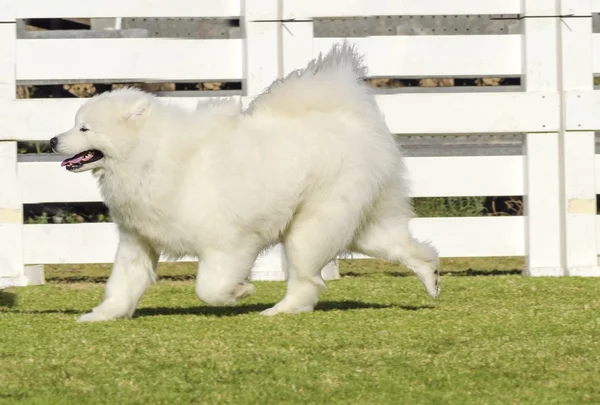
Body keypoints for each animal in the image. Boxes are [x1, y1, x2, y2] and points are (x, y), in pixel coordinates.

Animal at [51, 43, 440, 322]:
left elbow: (208, 288)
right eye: (75, 124)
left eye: (84, 129)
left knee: (307, 280)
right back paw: (431, 276)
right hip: (360, 225)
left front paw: (240, 292)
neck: (149, 155)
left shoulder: (229, 243)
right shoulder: (138, 241)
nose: (53, 141)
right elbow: (122, 285)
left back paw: (279, 310)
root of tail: (350, 122)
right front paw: (101, 316)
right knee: (404, 247)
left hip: (311, 228)